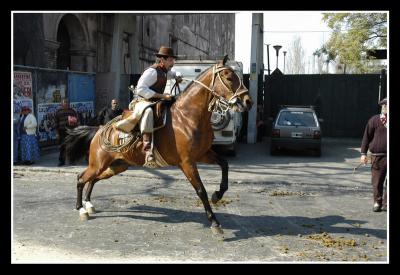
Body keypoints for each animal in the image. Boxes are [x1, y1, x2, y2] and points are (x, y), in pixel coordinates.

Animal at [65, 56, 253, 235]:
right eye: (228, 77)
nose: (248, 101)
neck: (187, 117)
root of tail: (99, 129)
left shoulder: (203, 154)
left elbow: (224, 164)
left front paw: (218, 194)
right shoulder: (187, 163)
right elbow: (201, 190)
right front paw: (214, 222)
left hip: (116, 166)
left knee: (93, 179)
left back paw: (88, 204)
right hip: (98, 164)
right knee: (81, 178)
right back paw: (81, 209)